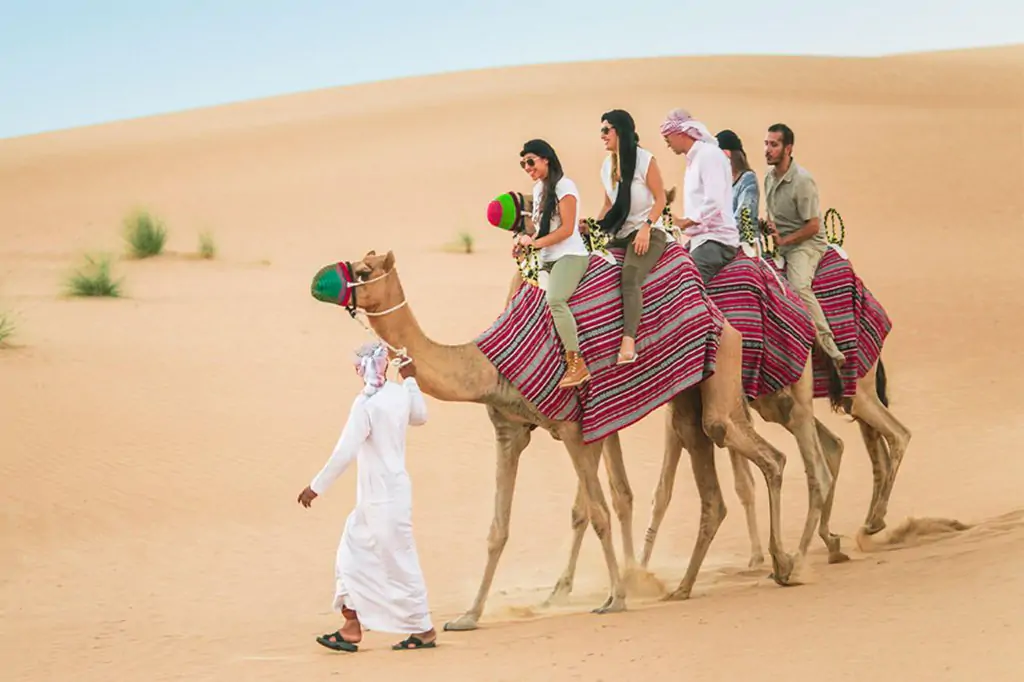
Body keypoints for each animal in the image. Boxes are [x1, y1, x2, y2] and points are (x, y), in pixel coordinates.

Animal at [307, 246, 802, 630]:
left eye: (365, 271)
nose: (316, 281)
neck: (486, 365)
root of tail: (713, 304)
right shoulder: (509, 431)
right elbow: (498, 528)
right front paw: (468, 616)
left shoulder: (573, 429)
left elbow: (598, 512)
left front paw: (615, 599)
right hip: (687, 396)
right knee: (713, 477)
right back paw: (685, 587)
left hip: (721, 369)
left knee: (762, 453)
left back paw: (783, 564)